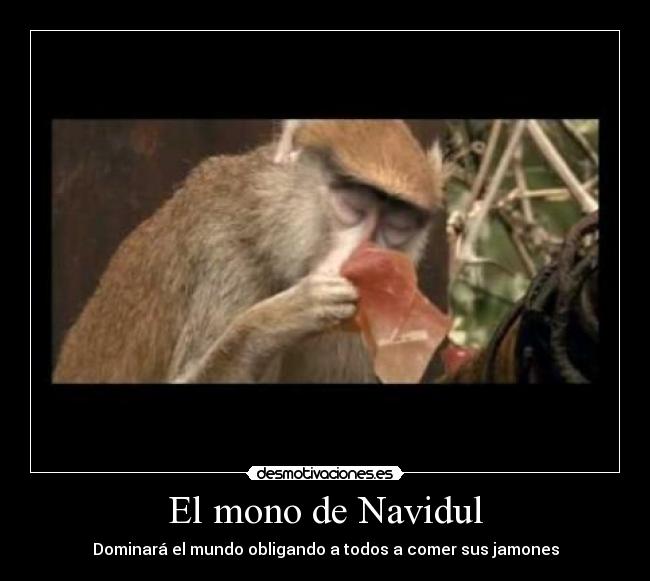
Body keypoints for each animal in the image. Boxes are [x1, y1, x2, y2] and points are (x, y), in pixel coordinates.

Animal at [54, 120, 446, 384]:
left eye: (398, 224)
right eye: (354, 203)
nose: (370, 259)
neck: (265, 224)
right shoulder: (226, 256)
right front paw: (277, 319)